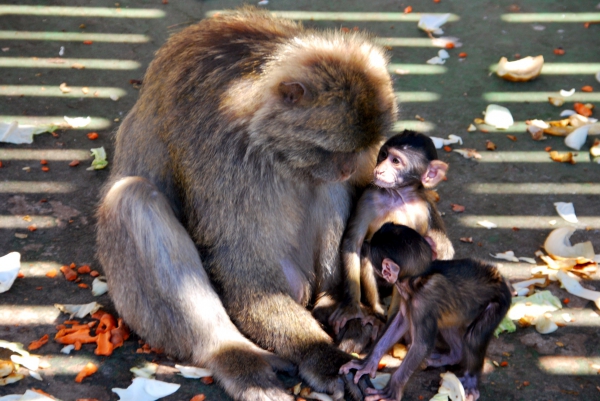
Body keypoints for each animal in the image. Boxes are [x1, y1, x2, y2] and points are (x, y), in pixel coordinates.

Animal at [330, 130, 452, 334]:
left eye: (395, 161)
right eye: (383, 155)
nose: (379, 169)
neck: (397, 195)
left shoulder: (422, 209)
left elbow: (417, 258)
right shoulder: (369, 197)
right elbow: (353, 243)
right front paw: (351, 307)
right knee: (366, 250)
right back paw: (376, 311)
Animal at [342, 223, 510, 398]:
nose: (365, 244)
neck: (416, 279)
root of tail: (498, 277)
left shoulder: (423, 302)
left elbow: (421, 345)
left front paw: (391, 391)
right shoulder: (407, 297)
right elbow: (401, 321)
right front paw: (366, 364)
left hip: (500, 302)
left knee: (474, 336)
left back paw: (470, 380)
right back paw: (453, 356)